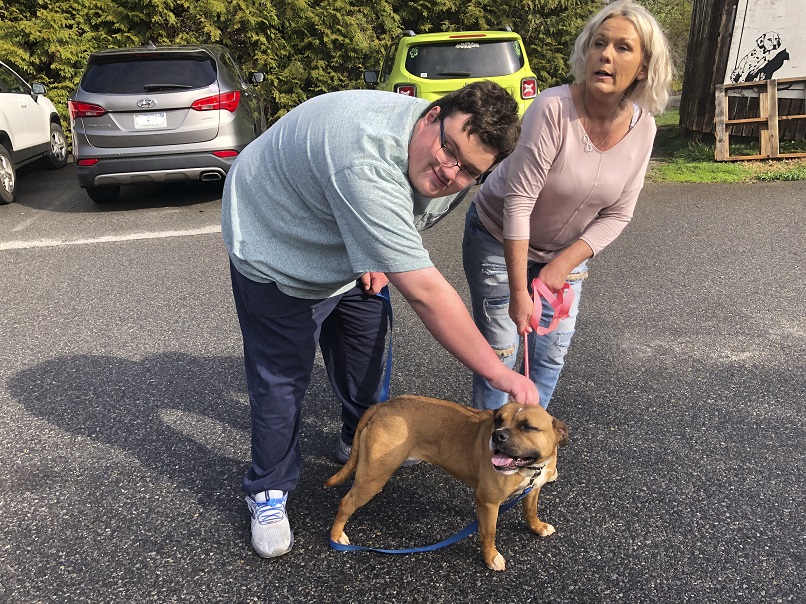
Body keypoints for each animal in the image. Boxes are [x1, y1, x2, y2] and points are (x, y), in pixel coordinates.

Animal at [326, 396, 572, 572]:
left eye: (527, 427)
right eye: (498, 420)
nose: (497, 435)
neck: (529, 467)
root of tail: (381, 406)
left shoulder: (533, 489)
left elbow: (530, 512)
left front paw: (537, 527)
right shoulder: (488, 502)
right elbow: (489, 533)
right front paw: (491, 558)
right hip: (371, 478)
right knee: (346, 503)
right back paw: (337, 537)